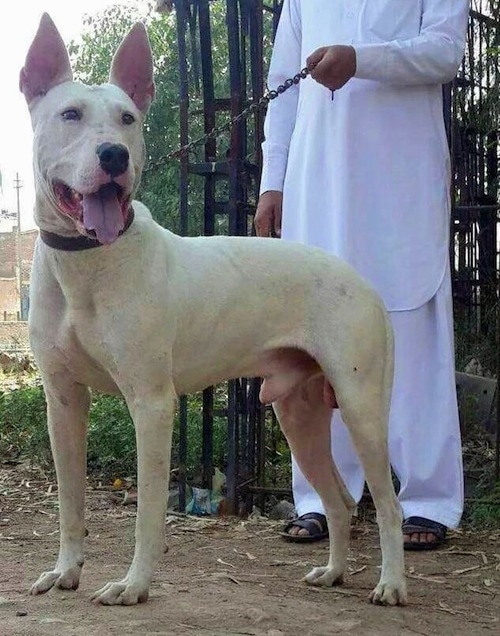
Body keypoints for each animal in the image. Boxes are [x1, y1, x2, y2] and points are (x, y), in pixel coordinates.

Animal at [21, 13, 408, 608]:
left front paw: (134, 584)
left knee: (389, 506)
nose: (115, 156)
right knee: (341, 502)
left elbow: (147, 514)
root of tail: (364, 284)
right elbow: (70, 503)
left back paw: (391, 583)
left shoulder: (152, 405)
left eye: (128, 119)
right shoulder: (62, 402)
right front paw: (65, 570)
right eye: (70, 115)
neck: (89, 262)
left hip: (362, 408)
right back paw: (333, 572)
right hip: (297, 415)